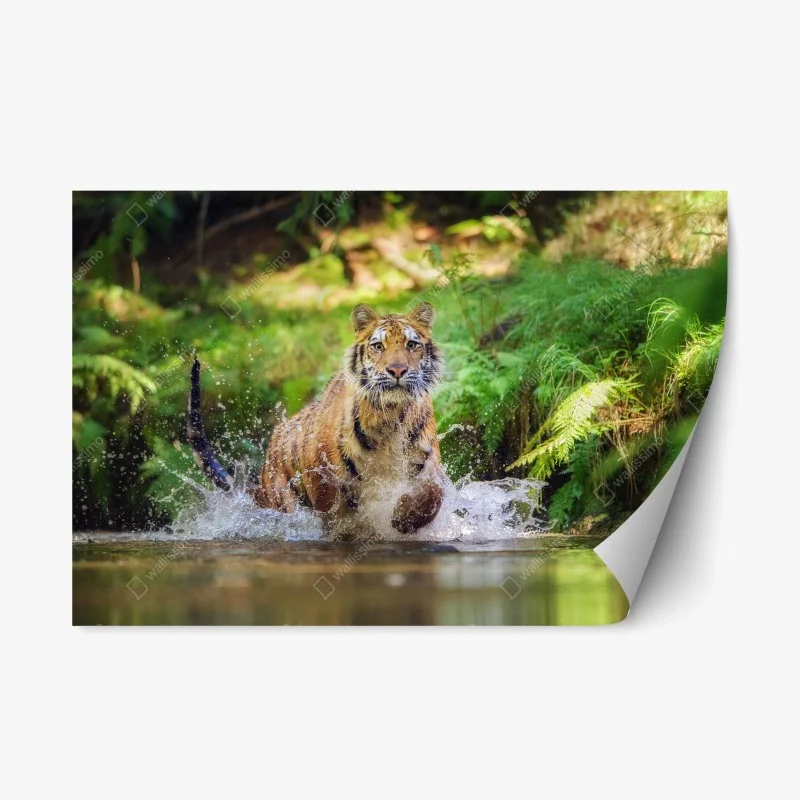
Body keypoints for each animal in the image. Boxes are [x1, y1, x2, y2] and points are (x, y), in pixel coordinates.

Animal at [188, 302, 446, 534]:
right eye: (378, 346)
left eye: (411, 344)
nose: (398, 370)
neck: (389, 417)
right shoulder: (322, 475)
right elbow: (336, 514)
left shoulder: (427, 459)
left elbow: (434, 492)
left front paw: (404, 518)